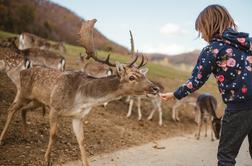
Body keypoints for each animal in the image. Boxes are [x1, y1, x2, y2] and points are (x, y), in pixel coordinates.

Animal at [0, 19, 159, 166]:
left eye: (143, 74)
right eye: (132, 77)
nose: (155, 88)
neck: (82, 99)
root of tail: (23, 71)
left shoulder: (77, 116)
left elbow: (82, 140)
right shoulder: (55, 107)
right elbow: (53, 134)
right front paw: (46, 160)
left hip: (37, 101)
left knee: (23, 110)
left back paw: (25, 136)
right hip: (23, 92)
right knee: (12, 108)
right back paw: (2, 139)